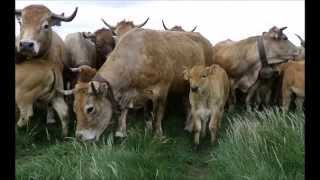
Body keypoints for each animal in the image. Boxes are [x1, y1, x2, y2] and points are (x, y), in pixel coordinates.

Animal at [59, 27, 215, 141]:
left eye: (90, 109)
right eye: (74, 108)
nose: (80, 137)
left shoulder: (162, 89)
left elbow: (158, 112)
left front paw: (157, 133)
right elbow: (126, 110)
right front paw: (121, 132)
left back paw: (189, 126)